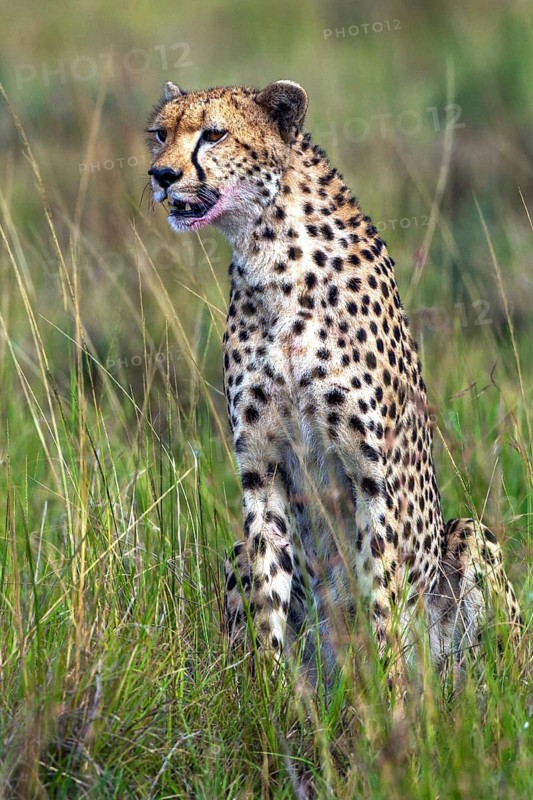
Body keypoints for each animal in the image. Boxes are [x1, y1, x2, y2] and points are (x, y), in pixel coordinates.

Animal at [146, 79, 522, 690]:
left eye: (215, 133)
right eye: (160, 134)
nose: (161, 175)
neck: (271, 255)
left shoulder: (373, 473)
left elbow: (383, 599)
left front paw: (391, 701)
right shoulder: (260, 469)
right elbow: (268, 589)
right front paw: (269, 701)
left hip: (470, 543)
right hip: (238, 555)